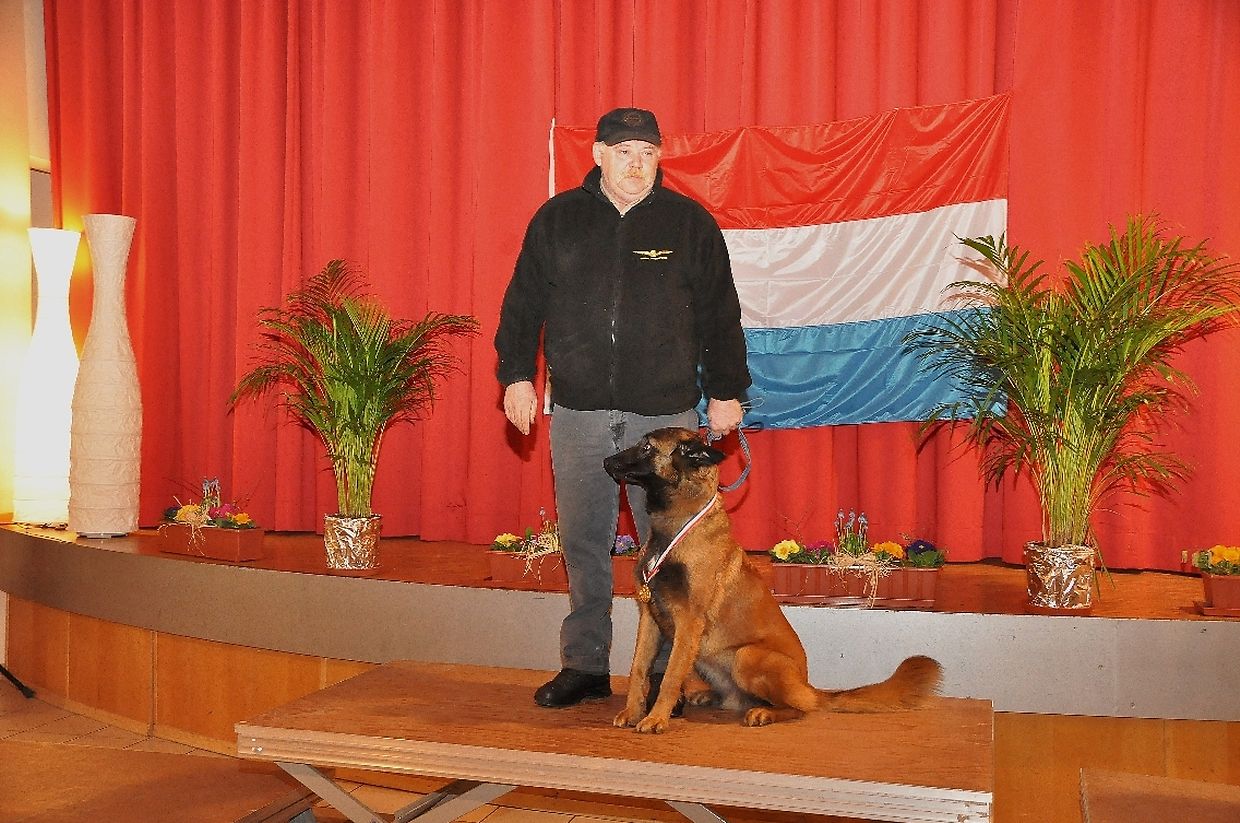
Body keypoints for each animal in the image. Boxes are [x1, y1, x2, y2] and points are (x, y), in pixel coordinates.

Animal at [603, 426, 942, 734]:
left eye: (647, 447)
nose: (606, 460)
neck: (676, 526)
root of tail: (809, 687)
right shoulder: (650, 616)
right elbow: (638, 668)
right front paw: (632, 712)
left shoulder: (689, 622)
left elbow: (671, 675)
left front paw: (656, 718)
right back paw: (710, 696)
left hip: (746, 656)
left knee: (799, 708)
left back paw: (764, 712)